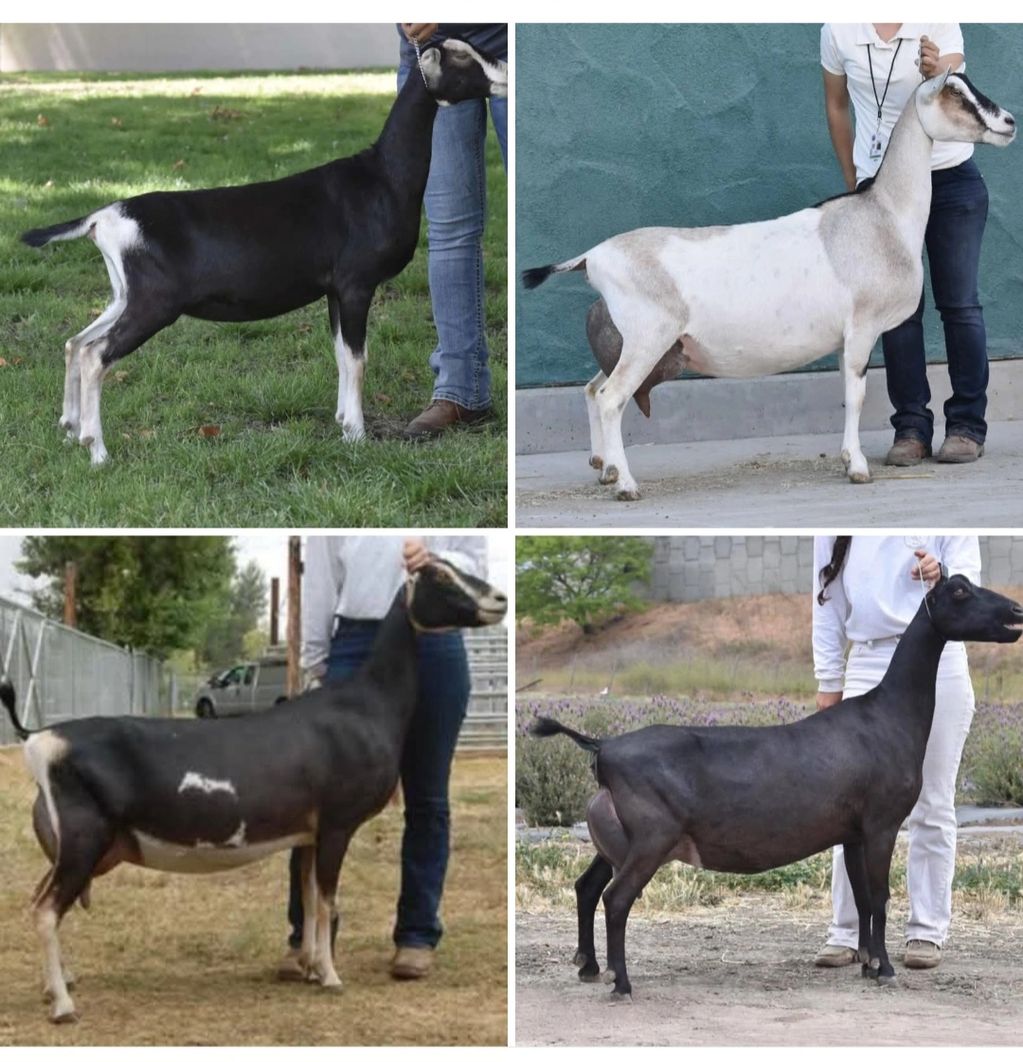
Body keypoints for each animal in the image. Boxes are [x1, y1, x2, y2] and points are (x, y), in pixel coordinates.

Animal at [0, 554, 506, 1023]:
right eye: (439, 576)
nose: (499, 599)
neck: (367, 705)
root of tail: (41, 738)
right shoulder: (337, 823)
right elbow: (326, 900)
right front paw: (331, 976)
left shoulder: (309, 832)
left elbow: (308, 894)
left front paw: (309, 968)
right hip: (86, 838)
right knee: (46, 909)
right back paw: (63, 1005)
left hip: (82, 846)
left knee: (38, 900)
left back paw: (56, 985)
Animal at [20, 39, 508, 465]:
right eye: (463, 57)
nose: (504, 70)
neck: (382, 177)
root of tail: (103, 218)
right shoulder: (355, 285)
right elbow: (358, 359)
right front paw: (357, 436)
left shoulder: (333, 290)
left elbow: (340, 355)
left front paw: (342, 422)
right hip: (153, 303)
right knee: (96, 355)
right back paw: (98, 452)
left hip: (124, 296)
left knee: (76, 343)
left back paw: (70, 430)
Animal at [522, 70, 1015, 500]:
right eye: (956, 94)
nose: (1009, 123)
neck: (884, 216)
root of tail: (592, 258)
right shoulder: (861, 327)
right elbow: (856, 394)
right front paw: (857, 467)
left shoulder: (847, 336)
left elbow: (848, 392)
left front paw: (848, 459)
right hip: (648, 338)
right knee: (611, 399)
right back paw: (626, 485)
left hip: (627, 342)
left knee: (592, 390)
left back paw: (603, 468)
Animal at [531, 574, 1022, 1000]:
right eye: (959, 591)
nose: (1017, 609)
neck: (888, 714)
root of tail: (604, 746)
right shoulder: (882, 823)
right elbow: (880, 898)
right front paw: (884, 969)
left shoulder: (852, 833)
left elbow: (864, 900)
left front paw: (866, 964)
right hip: (652, 837)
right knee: (616, 899)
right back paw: (622, 983)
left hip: (618, 837)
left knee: (587, 886)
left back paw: (590, 966)